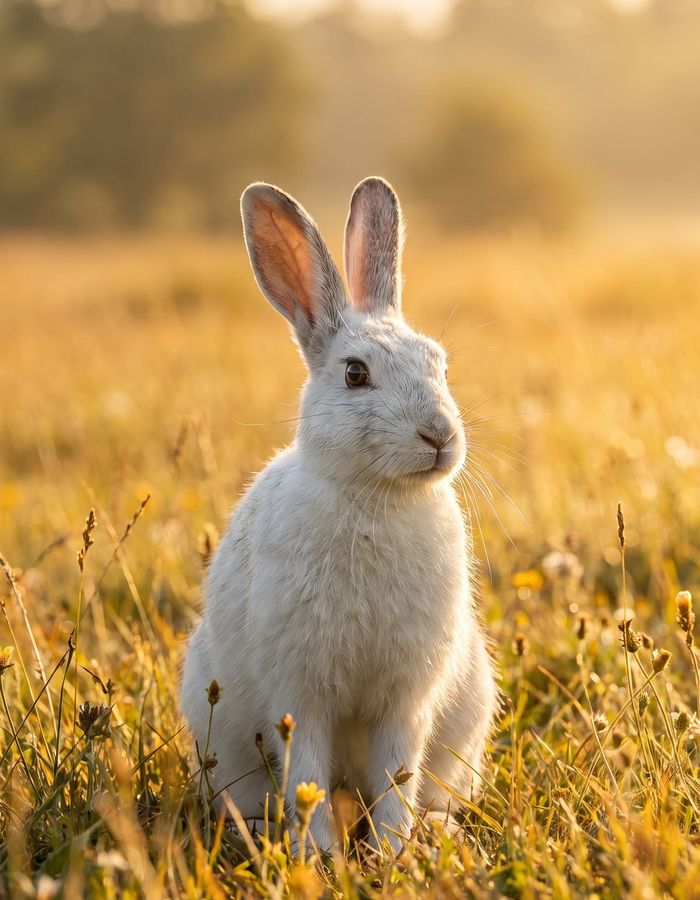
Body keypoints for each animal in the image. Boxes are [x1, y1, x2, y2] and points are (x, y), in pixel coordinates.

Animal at [180, 176, 498, 852]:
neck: (377, 495)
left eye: (440, 364)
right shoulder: (301, 693)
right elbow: (307, 773)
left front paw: (393, 851)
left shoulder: (407, 698)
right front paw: (319, 852)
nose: (440, 436)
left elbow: (398, 773)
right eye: (355, 374)